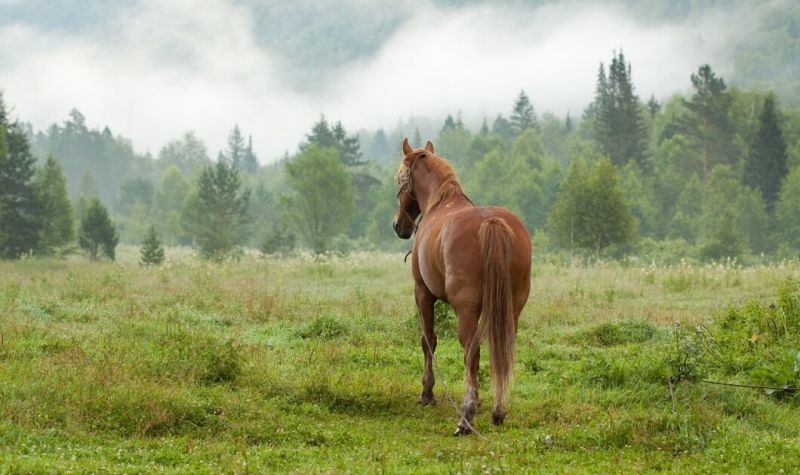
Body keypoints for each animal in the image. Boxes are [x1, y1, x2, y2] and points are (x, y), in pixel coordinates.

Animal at [392, 138, 532, 436]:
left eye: (399, 179)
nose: (399, 226)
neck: (440, 203)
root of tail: (492, 223)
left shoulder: (422, 293)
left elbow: (428, 340)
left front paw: (427, 393)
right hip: (511, 309)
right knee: (501, 351)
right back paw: (498, 410)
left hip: (466, 312)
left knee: (472, 351)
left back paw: (467, 416)